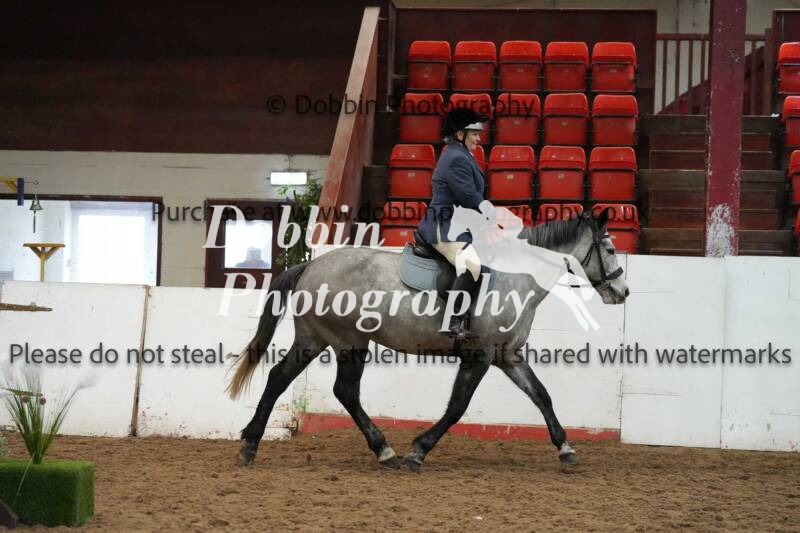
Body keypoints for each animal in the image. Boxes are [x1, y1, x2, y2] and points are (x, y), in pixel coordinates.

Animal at [227, 209, 629, 471]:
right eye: (610, 250)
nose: (623, 292)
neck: (515, 279)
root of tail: (310, 265)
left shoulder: (508, 355)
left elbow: (542, 395)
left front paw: (566, 448)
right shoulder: (480, 356)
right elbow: (457, 407)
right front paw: (419, 450)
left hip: (315, 339)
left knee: (280, 378)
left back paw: (250, 444)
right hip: (348, 341)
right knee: (345, 391)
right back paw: (385, 452)